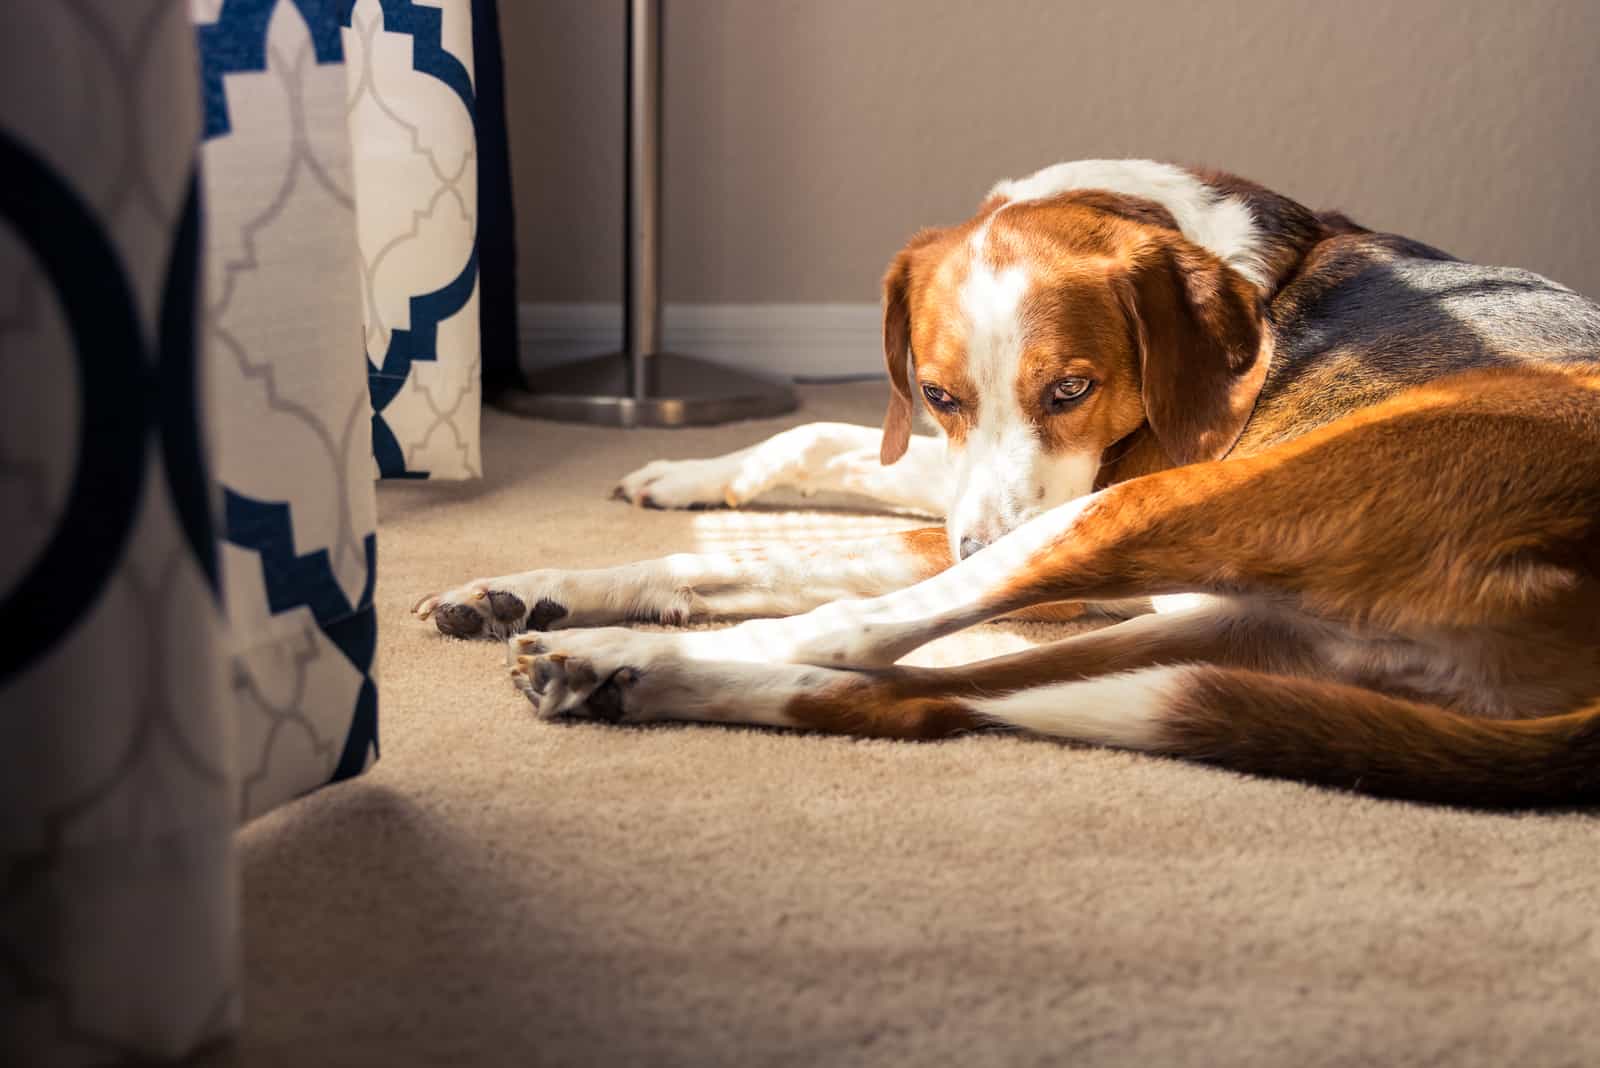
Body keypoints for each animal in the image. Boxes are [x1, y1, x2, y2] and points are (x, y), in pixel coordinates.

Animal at [416, 158, 1600, 805]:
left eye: (1073, 388)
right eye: (939, 393)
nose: (977, 548)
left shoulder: (1060, 509)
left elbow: (818, 549)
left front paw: (578, 592)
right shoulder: (949, 475)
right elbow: (806, 447)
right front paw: (585, 542)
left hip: (1150, 520)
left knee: (857, 633)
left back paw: (616, 655)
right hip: (1226, 629)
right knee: (913, 693)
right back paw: (624, 675)